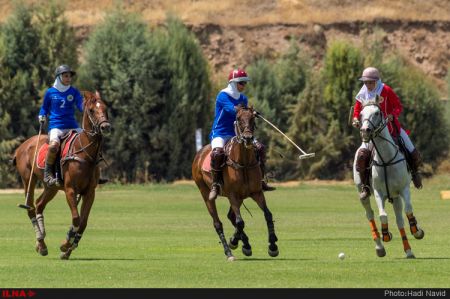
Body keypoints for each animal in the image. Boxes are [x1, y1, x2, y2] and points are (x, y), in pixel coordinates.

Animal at [12, 91, 110, 260]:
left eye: (105, 107)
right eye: (91, 110)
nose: (105, 126)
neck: (85, 154)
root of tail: (22, 146)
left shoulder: (90, 192)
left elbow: (83, 222)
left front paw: (68, 248)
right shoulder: (71, 189)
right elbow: (76, 218)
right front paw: (66, 244)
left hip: (51, 187)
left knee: (39, 204)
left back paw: (41, 243)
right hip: (28, 179)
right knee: (30, 207)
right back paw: (40, 240)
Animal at [192, 106, 280, 262]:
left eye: (253, 118)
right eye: (238, 119)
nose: (248, 138)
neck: (244, 162)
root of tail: (199, 153)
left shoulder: (257, 193)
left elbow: (267, 215)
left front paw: (273, 246)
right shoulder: (232, 194)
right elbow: (240, 222)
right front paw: (233, 241)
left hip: (239, 198)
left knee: (231, 216)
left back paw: (245, 245)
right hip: (205, 192)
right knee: (218, 222)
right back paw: (229, 252)